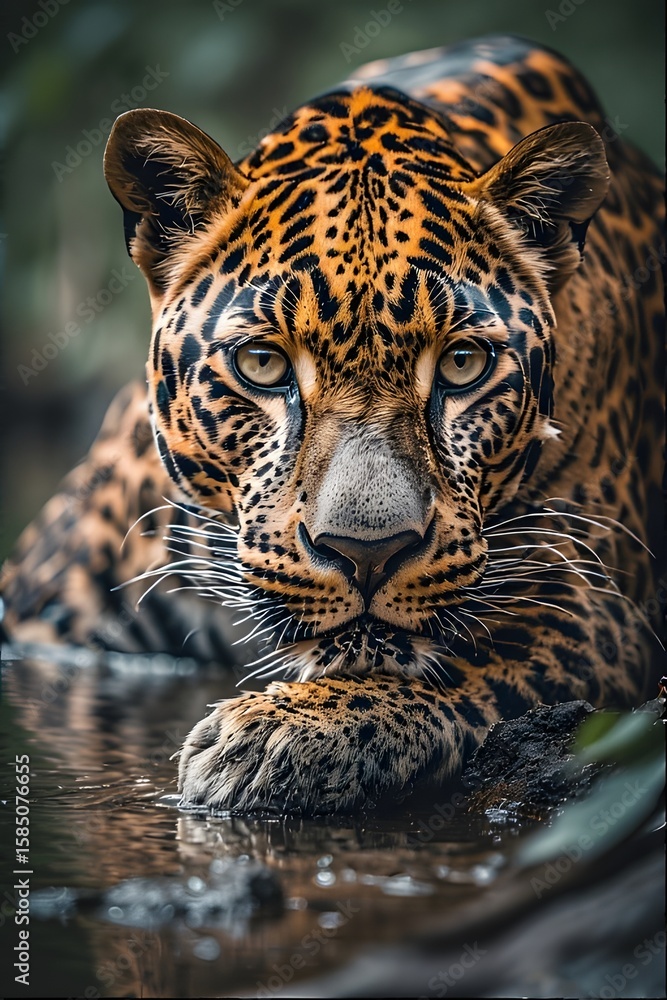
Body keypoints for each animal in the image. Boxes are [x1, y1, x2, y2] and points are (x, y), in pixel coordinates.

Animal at [2, 35, 664, 815]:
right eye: (262, 363)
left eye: (463, 363)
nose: (367, 554)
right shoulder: (51, 606)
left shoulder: (598, 603)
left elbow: (469, 650)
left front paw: (275, 734)